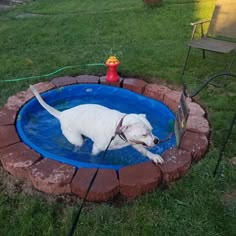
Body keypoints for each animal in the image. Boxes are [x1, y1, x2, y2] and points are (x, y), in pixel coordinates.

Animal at [30, 85, 164, 164]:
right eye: (144, 134)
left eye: (152, 130)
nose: (157, 140)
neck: (117, 131)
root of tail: (63, 114)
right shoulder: (96, 148)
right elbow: (93, 157)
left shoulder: (134, 143)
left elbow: (145, 151)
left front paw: (154, 156)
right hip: (76, 138)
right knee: (77, 144)